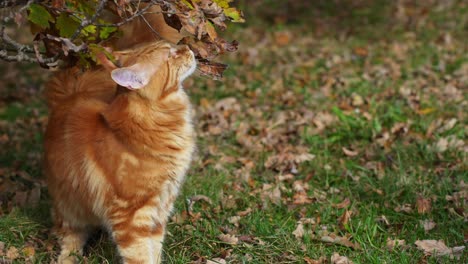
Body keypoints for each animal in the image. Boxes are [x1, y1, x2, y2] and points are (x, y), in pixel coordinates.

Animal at [44, 40, 196, 262]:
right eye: (170, 54)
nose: (187, 47)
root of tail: (72, 93)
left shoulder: (161, 206)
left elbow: (155, 249)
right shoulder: (131, 214)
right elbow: (140, 255)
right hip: (69, 207)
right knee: (70, 236)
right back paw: (68, 258)